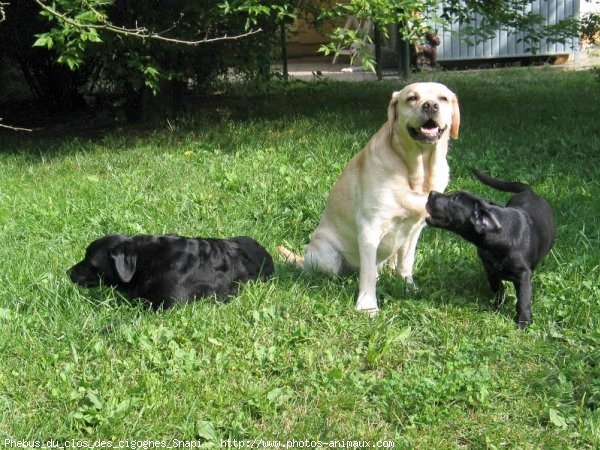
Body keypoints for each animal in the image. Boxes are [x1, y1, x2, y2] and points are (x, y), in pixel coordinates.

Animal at [426, 169, 556, 326]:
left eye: (455, 199)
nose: (431, 192)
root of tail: (529, 191)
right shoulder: (490, 270)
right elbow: (498, 288)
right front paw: (497, 306)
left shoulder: (523, 276)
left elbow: (523, 301)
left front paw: (522, 323)